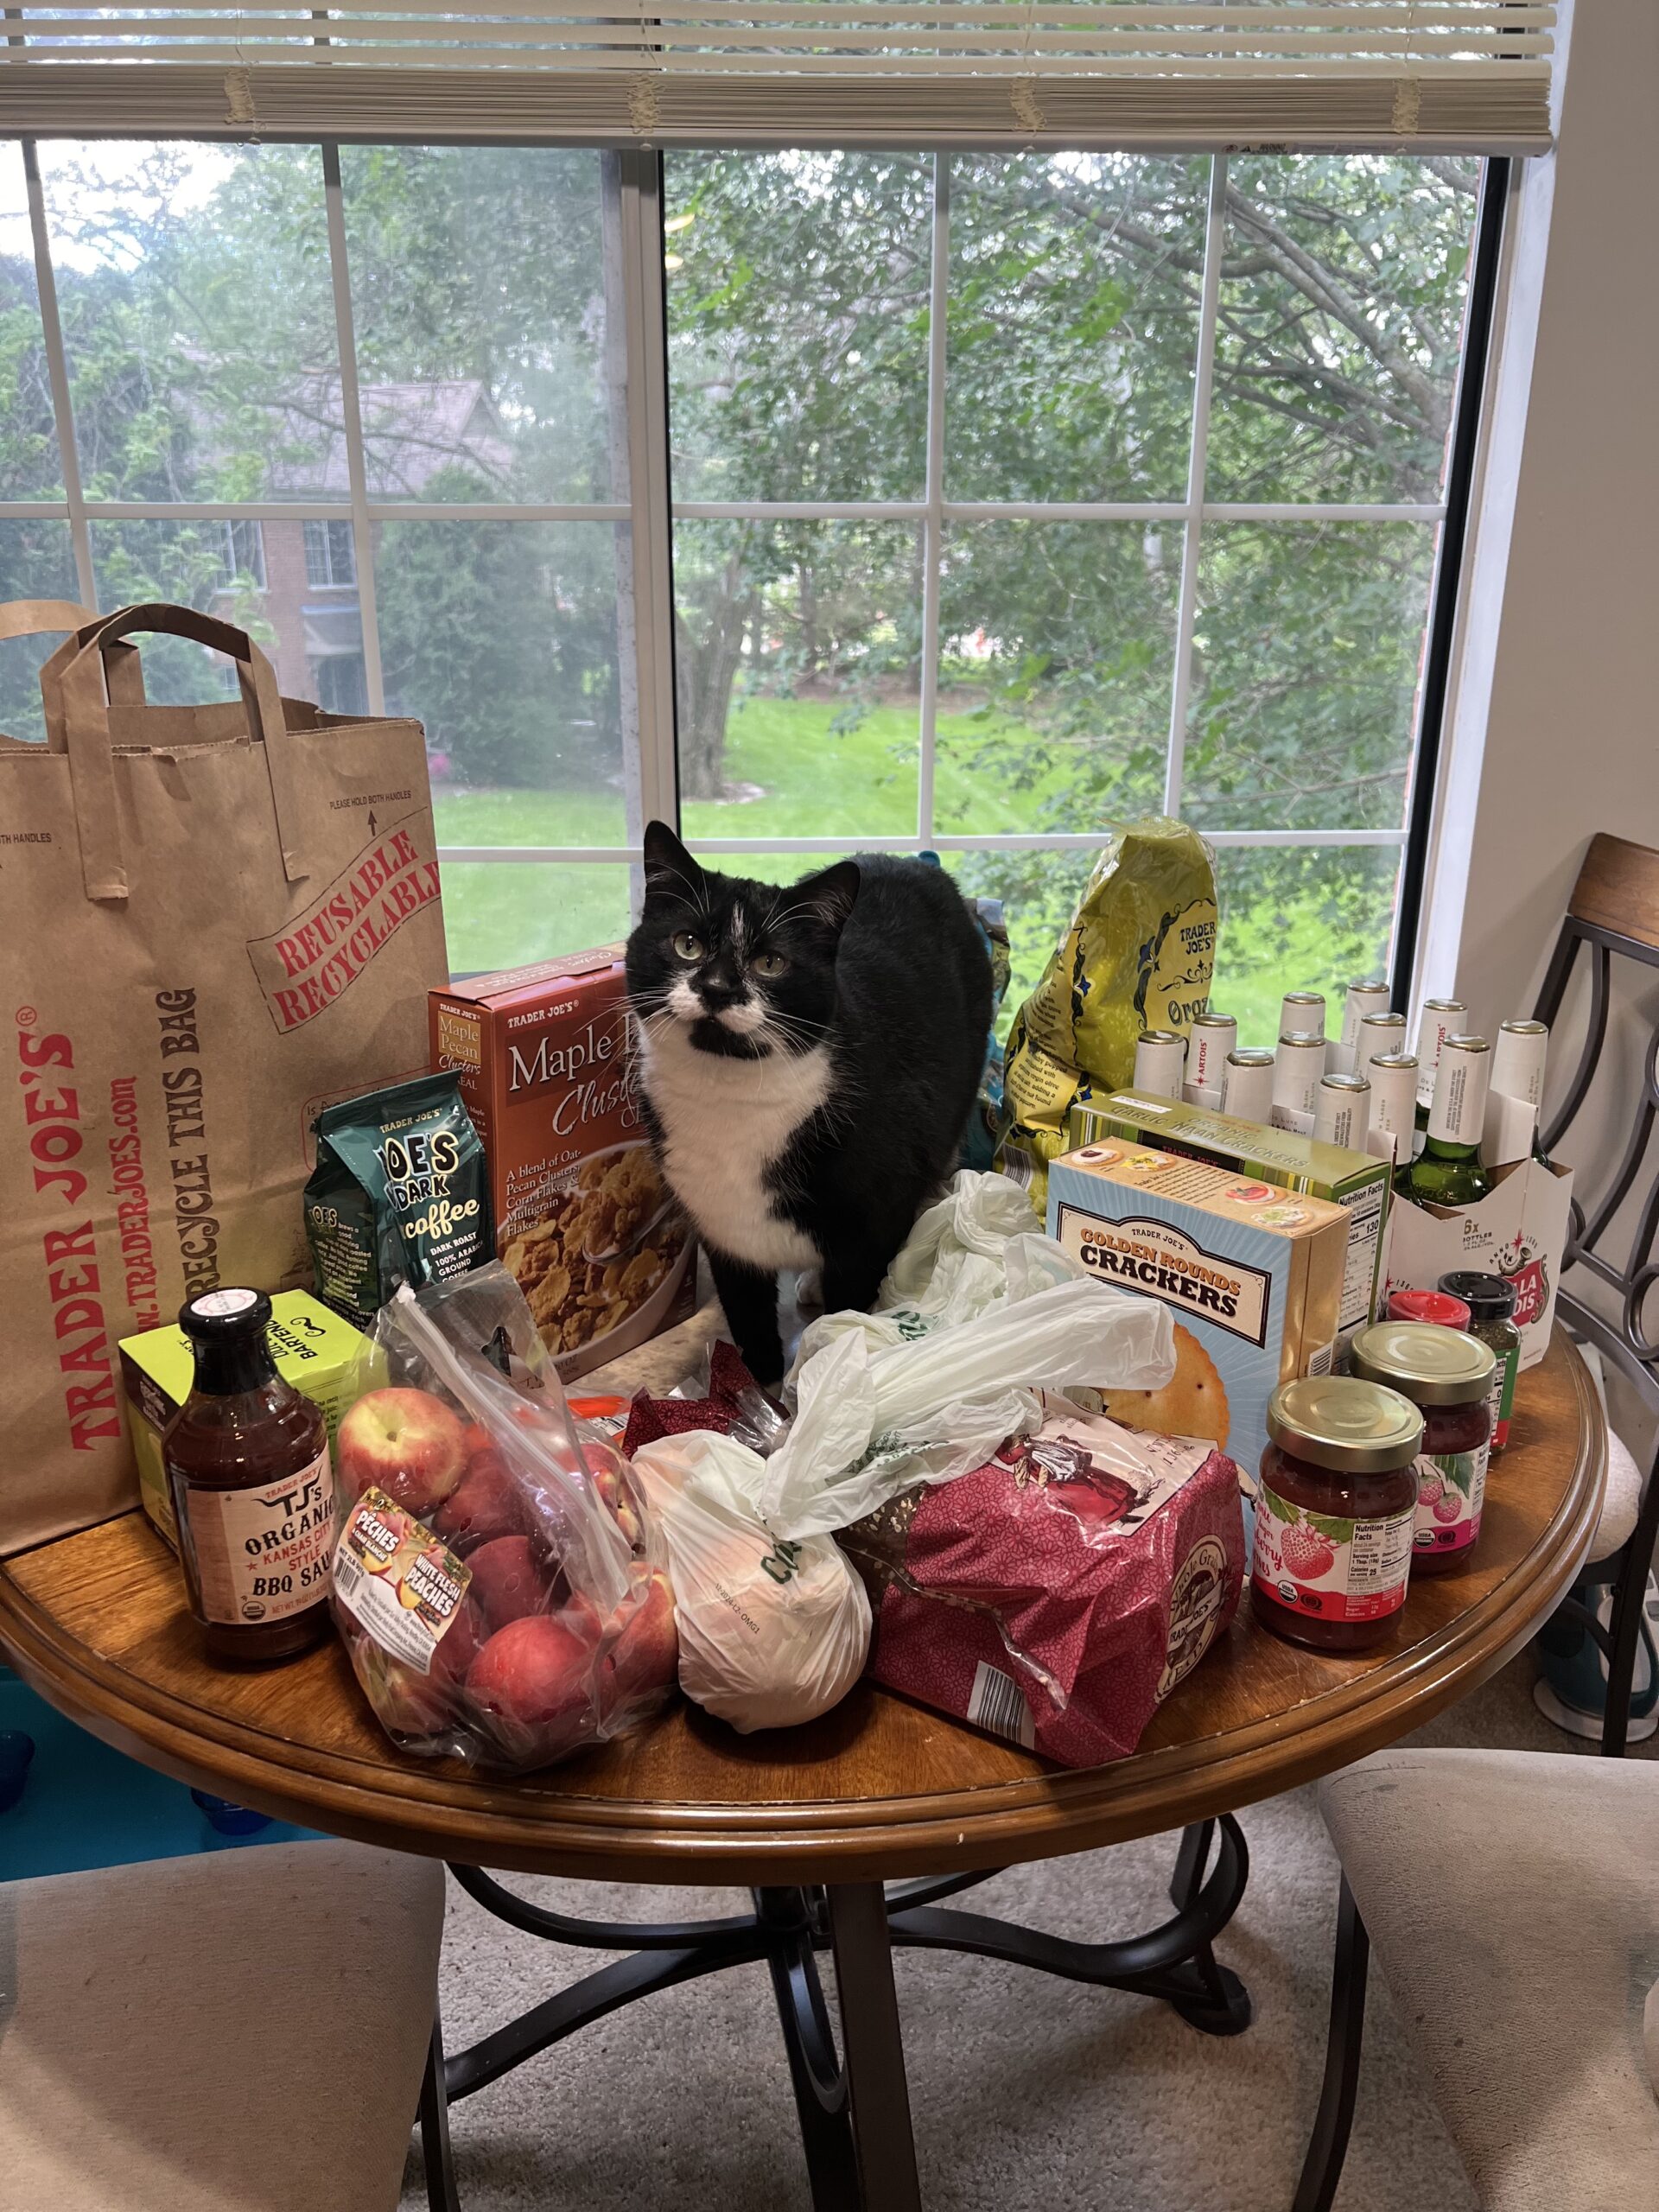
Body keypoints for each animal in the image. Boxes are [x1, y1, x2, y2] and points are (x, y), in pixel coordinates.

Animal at [628, 823, 995, 1389]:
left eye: (771, 963)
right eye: (686, 944)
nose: (717, 987)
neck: (729, 1099)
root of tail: (915, 862)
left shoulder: (873, 1223)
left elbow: (851, 1306)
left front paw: (829, 1370)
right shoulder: (719, 1222)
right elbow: (746, 1309)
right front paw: (755, 1384)